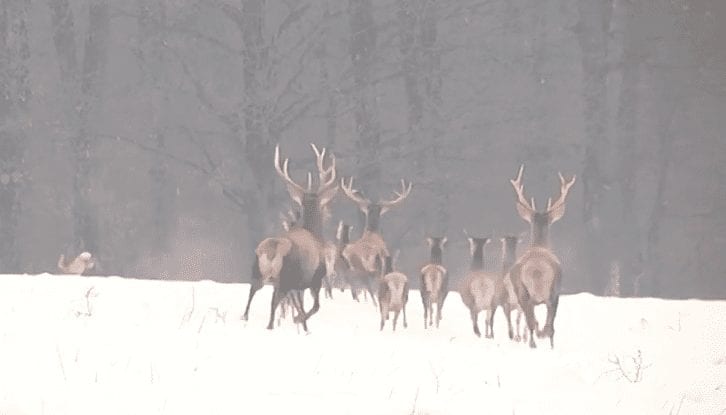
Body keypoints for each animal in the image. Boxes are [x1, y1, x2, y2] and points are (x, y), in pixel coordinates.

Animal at [242, 143, 338, 332]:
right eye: (323, 205)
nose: (329, 214)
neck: (315, 234)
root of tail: (273, 247)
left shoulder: (298, 286)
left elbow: (300, 305)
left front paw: (302, 324)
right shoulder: (315, 279)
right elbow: (315, 307)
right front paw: (299, 320)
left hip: (257, 272)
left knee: (251, 294)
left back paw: (245, 318)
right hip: (286, 278)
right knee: (274, 304)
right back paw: (271, 326)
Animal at [338, 177, 412, 308]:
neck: (372, 233)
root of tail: (367, 255)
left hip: (351, 269)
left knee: (355, 288)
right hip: (374, 269)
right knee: (369, 288)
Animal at [510, 164, 576, 350]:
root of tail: (537, 270)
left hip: (527, 294)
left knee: (536, 323)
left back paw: (535, 343)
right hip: (551, 292)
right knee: (547, 326)